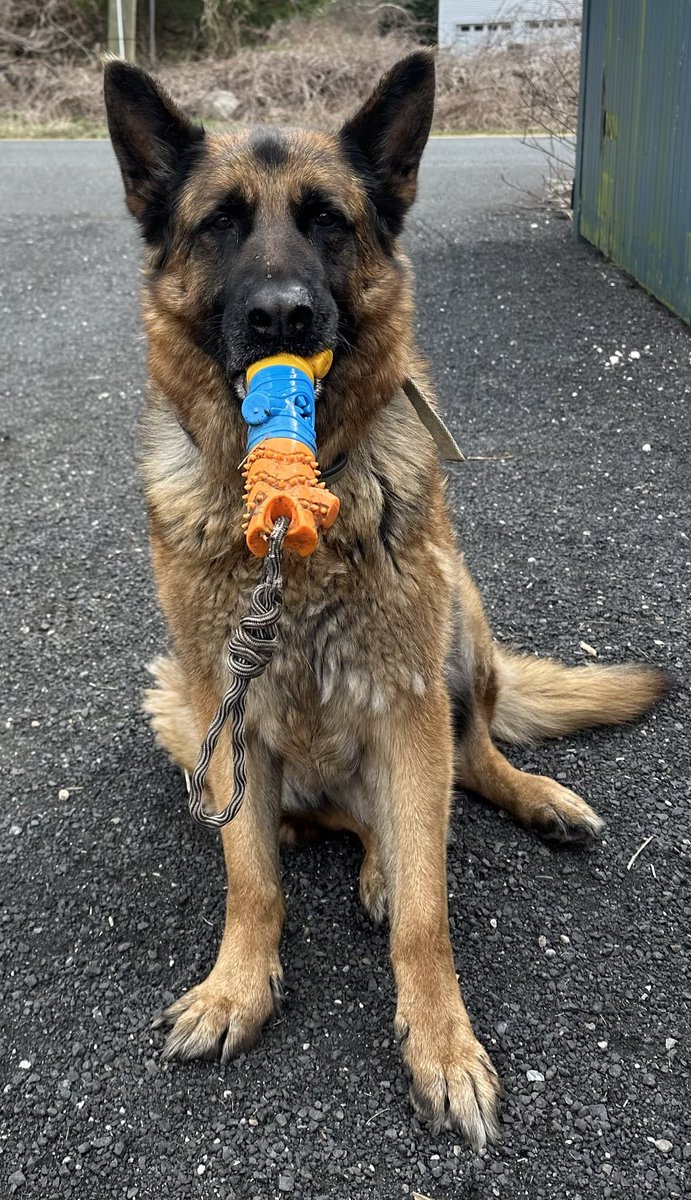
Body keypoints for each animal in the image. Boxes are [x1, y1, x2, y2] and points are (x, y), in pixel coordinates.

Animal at [102, 51, 662, 1147]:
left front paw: (442, 1044)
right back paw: (352, 849)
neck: (291, 523)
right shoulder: (220, 699)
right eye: (219, 223)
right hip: (176, 707)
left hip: (458, 628)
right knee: (329, 821)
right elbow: (252, 885)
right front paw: (238, 988)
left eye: (327, 221)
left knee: (464, 770)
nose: (282, 317)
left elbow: (426, 915)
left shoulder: (407, 701)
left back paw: (518, 807)